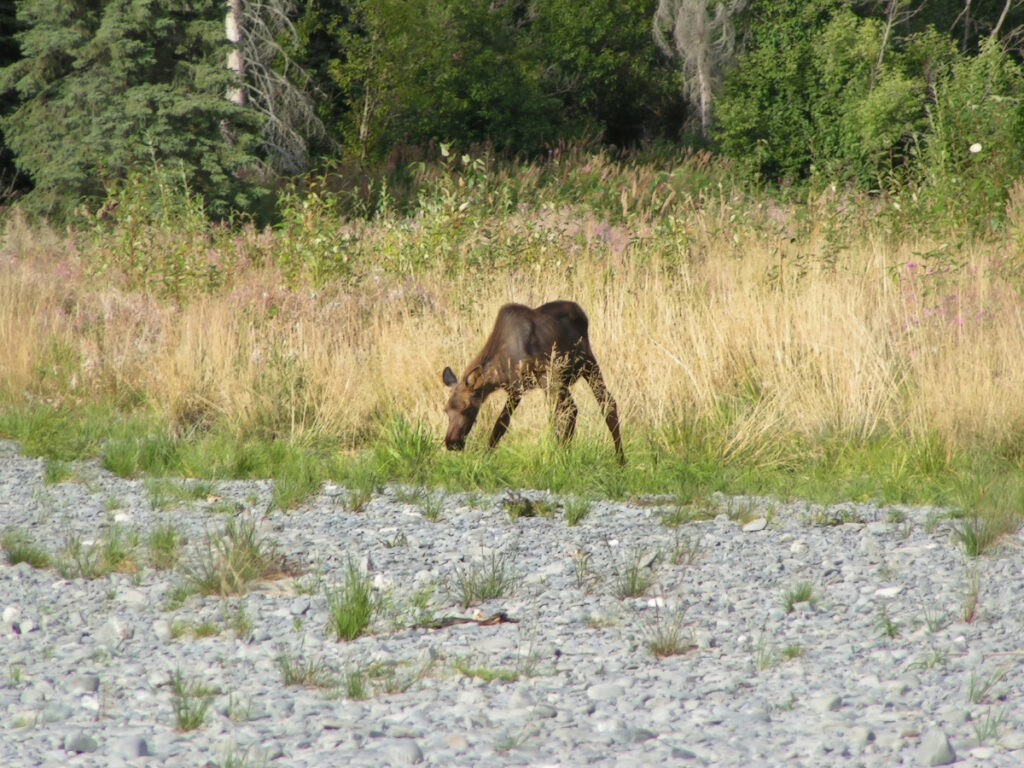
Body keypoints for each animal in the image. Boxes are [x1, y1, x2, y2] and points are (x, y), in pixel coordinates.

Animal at [441, 301, 624, 463]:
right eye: (446, 410)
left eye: (468, 409)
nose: (451, 443)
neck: (498, 372)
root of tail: (582, 314)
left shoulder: (517, 387)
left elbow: (500, 425)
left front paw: (484, 458)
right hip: (570, 373)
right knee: (594, 404)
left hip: (568, 369)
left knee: (574, 409)